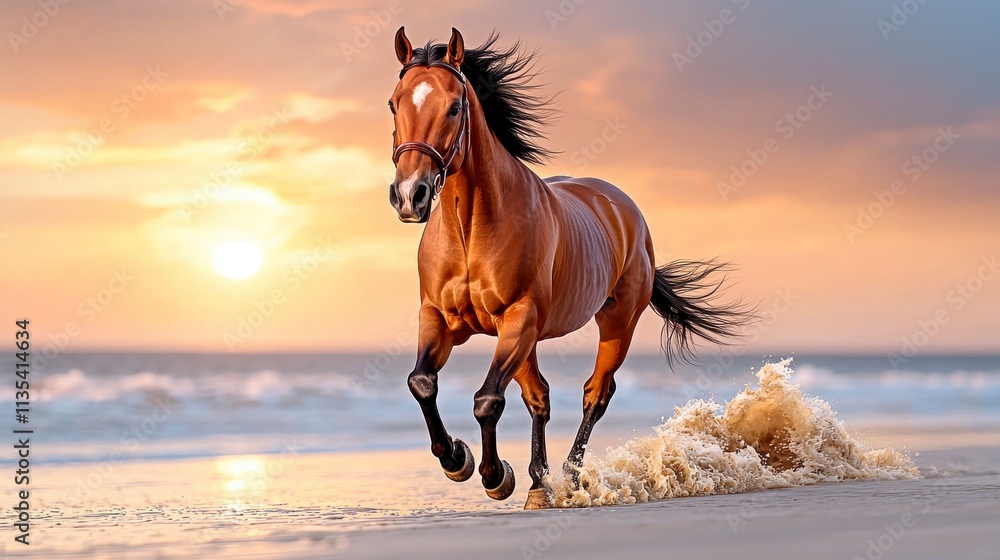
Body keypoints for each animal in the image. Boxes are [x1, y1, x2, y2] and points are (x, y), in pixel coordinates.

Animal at [386, 27, 752, 509]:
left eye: (454, 106)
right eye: (394, 103)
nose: (411, 195)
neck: (470, 230)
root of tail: (623, 207)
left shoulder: (519, 319)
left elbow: (488, 400)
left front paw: (493, 475)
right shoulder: (439, 318)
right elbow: (423, 383)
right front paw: (457, 459)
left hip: (616, 322)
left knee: (595, 394)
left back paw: (570, 477)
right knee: (538, 395)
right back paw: (539, 486)